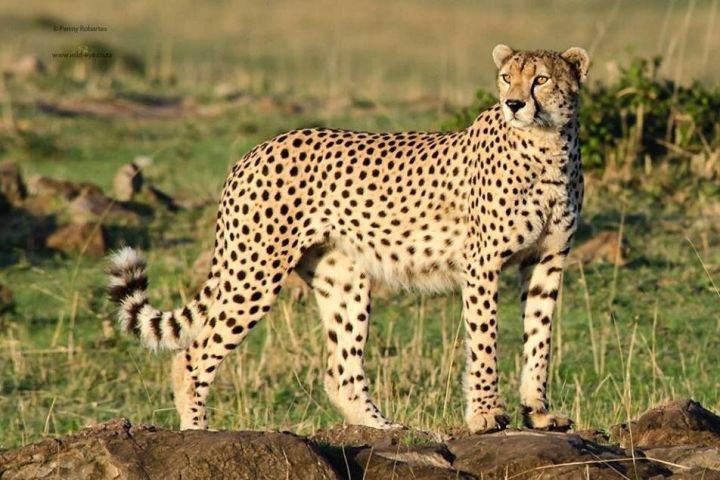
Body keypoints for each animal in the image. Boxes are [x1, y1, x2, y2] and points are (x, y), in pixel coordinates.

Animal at [108, 44, 589, 434]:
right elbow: (485, 341)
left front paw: (539, 413)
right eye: (507, 77)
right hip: (254, 272)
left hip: (342, 279)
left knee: (340, 372)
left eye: (541, 79)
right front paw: (487, 415)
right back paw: (197, 431)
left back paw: (387, 429)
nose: (513, 103)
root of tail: (256, 149)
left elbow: (540, 338)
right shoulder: (482, 264)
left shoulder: (547, 261)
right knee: (191, 355)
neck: (548, 145)